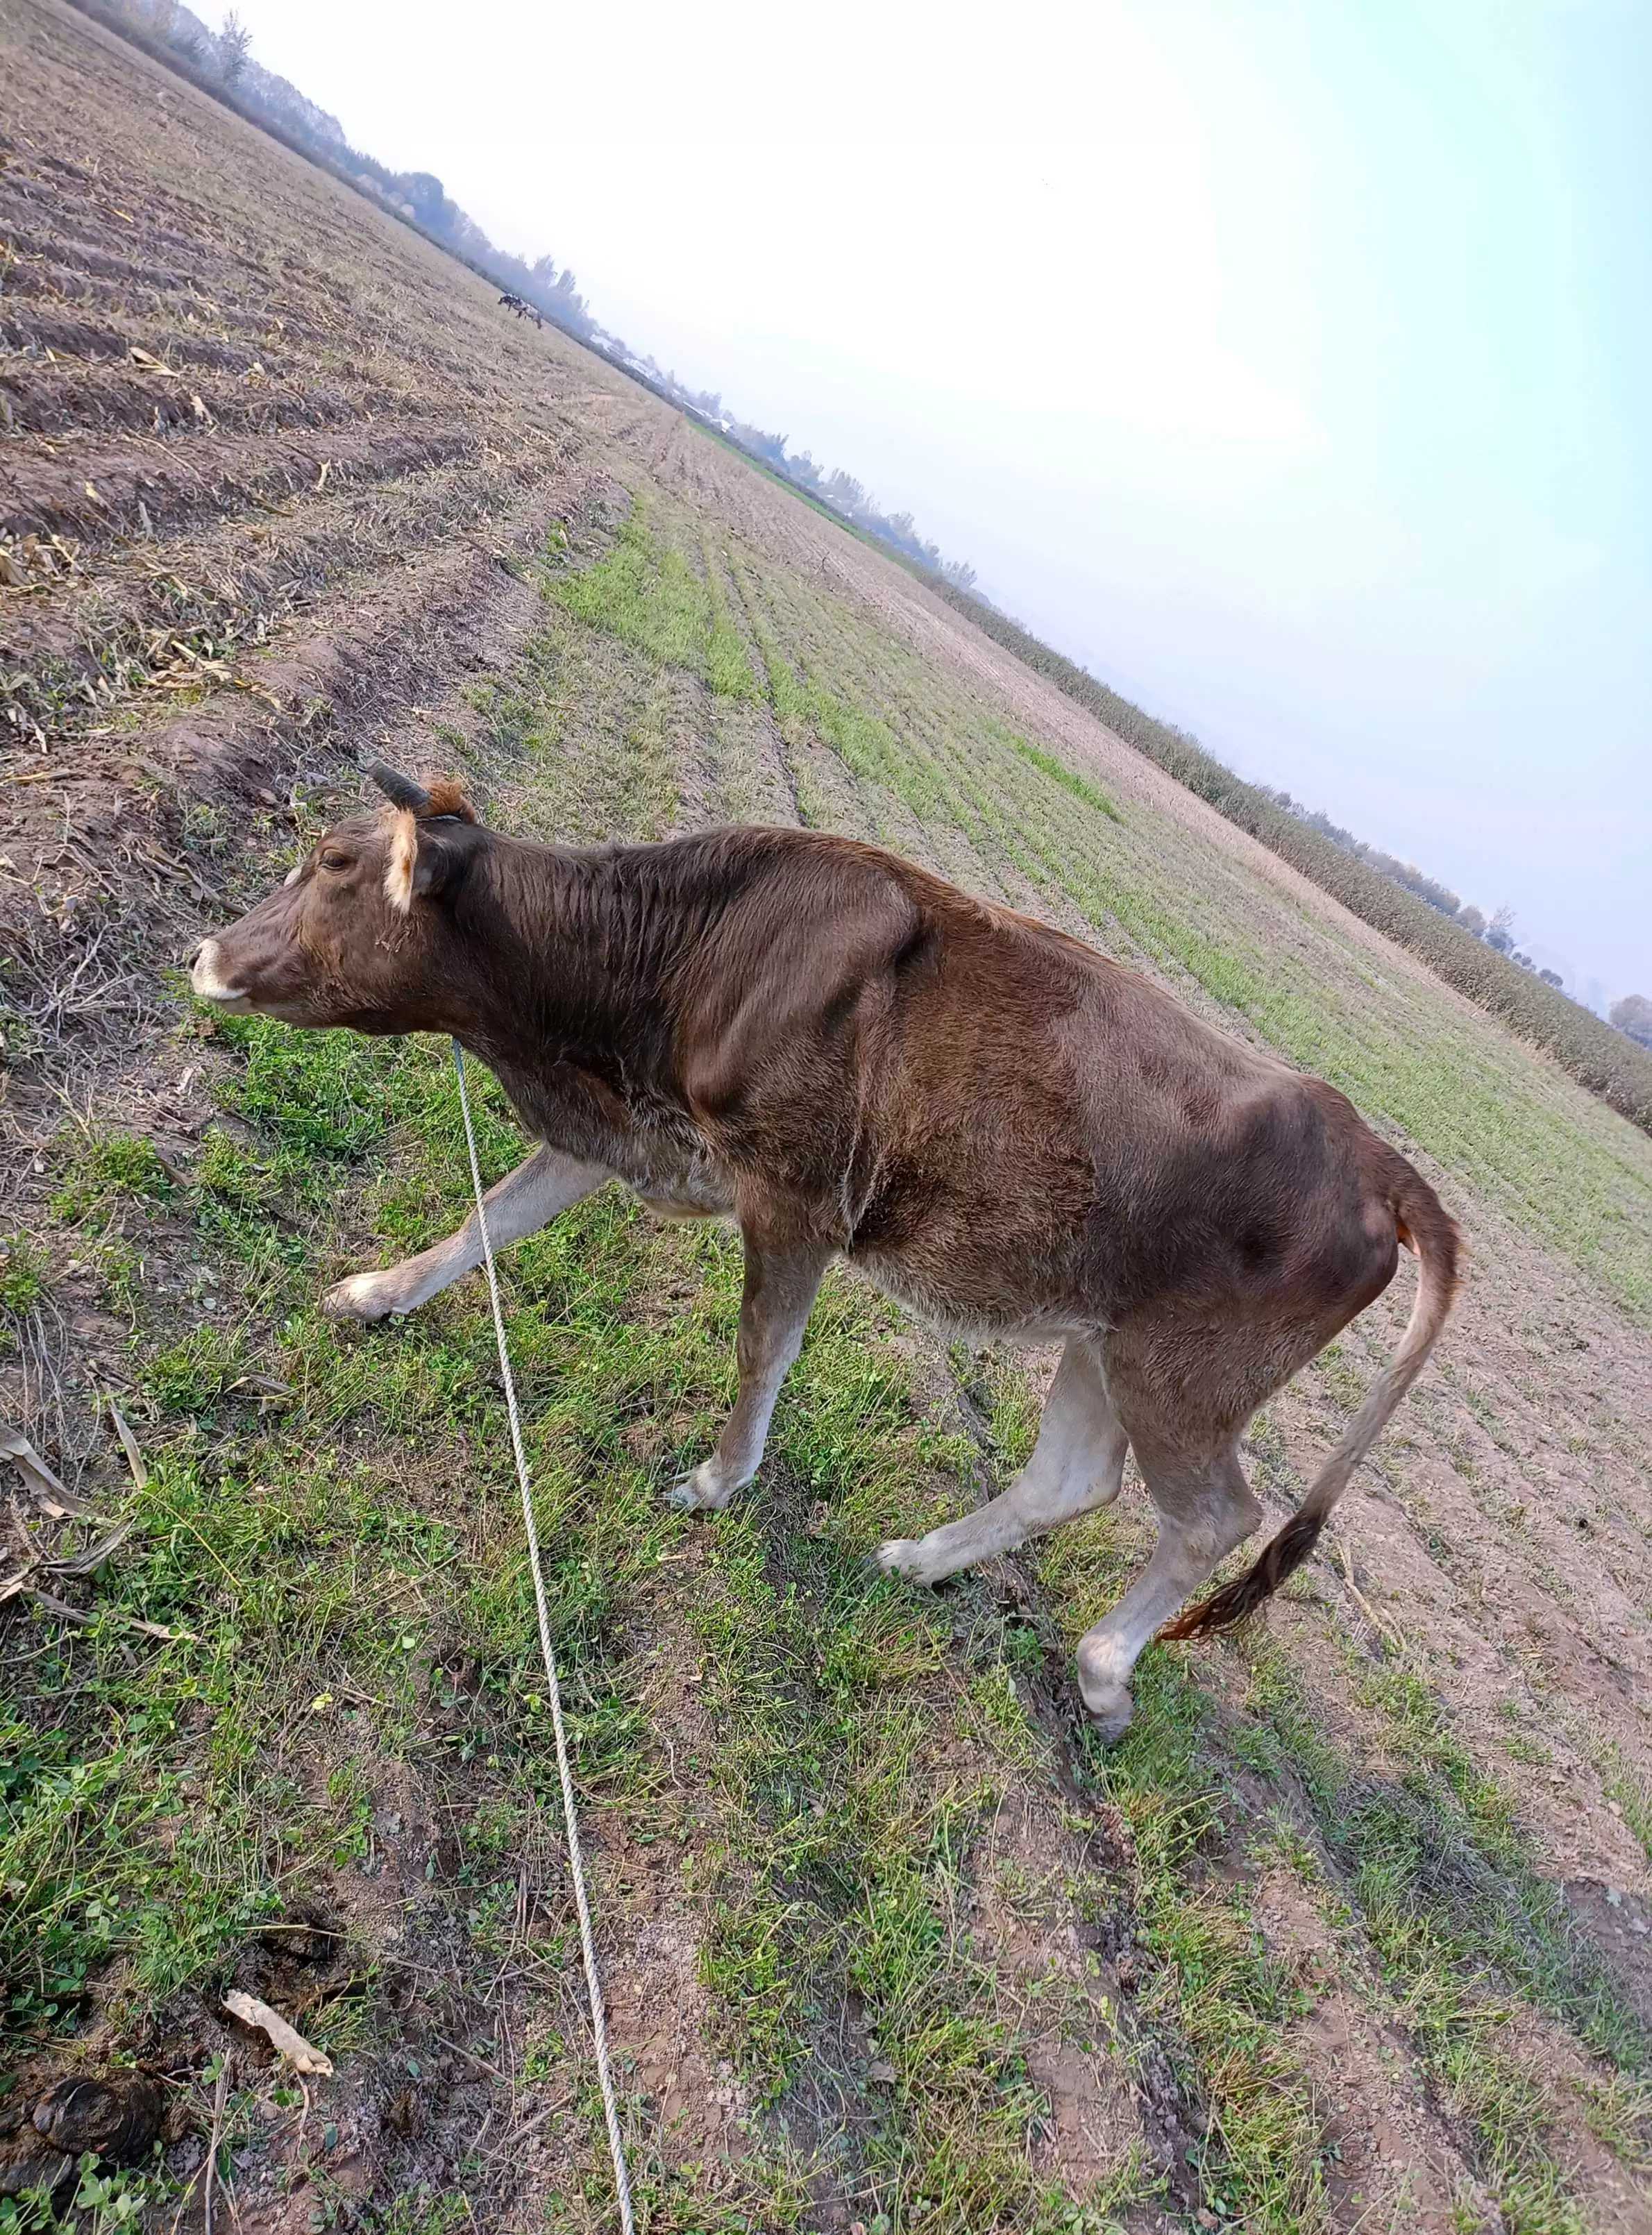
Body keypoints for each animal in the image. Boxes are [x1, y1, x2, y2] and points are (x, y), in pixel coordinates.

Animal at [190, 761, 1459, 1737]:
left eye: (332, 865)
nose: (205, 952)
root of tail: (1373, 1155)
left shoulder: (797, 1197)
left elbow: (762, 1349)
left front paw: (716, 1481)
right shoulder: (630, 1126)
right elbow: (487, 1220)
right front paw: (373, 1294)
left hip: (1188, 1379)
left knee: (1213, 1520)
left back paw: (1103, 1672)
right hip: (1106, 1341)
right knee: (1073, 1478)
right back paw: (920, 1562)